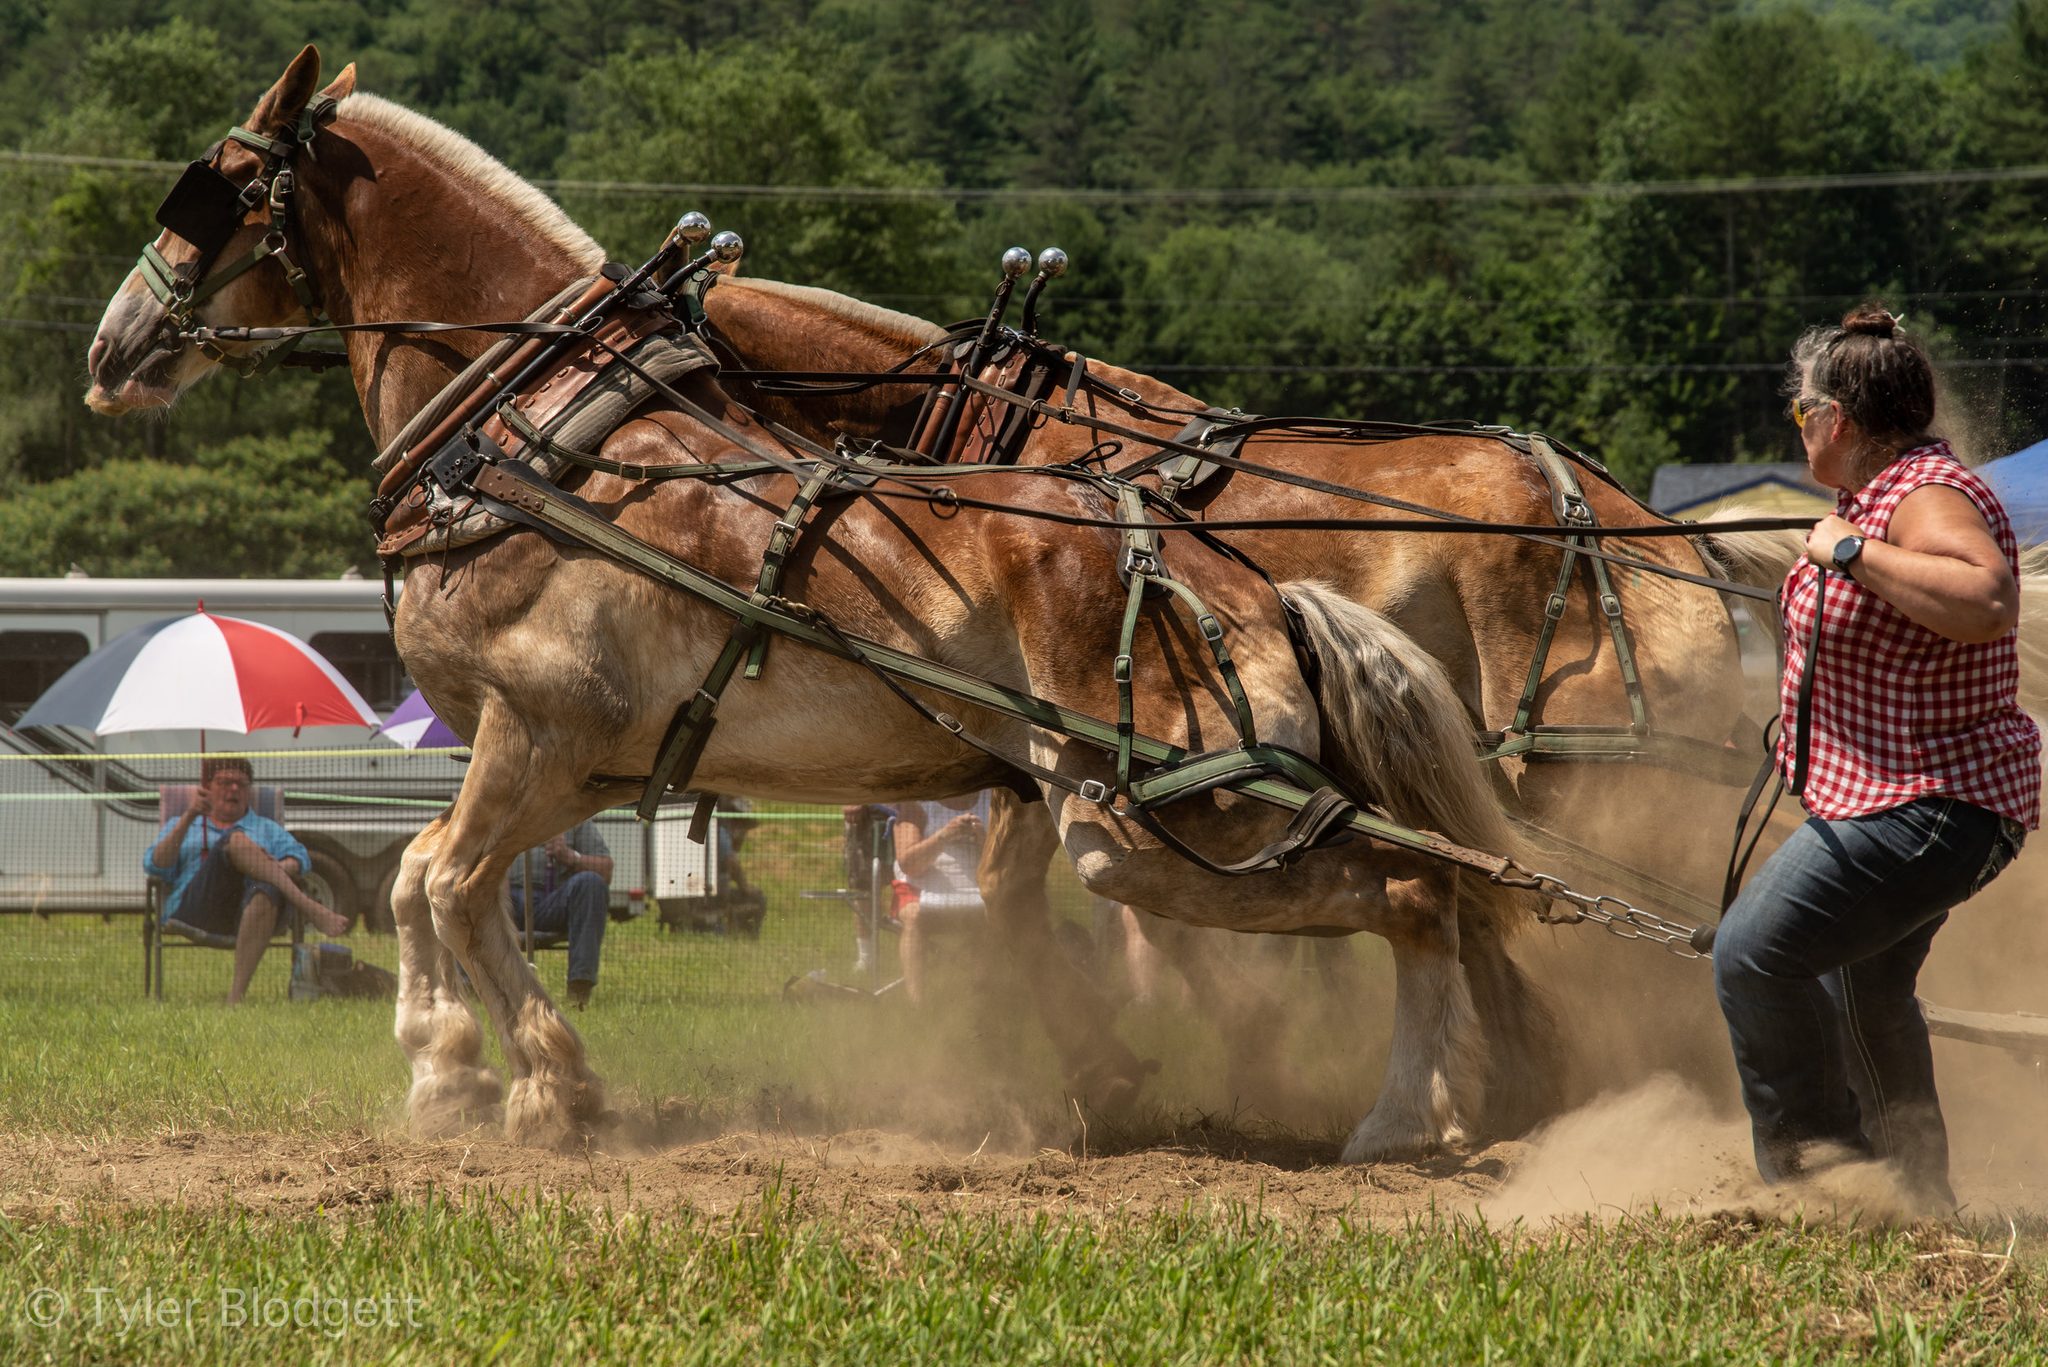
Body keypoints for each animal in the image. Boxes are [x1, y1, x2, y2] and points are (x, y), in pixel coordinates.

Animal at [83, 48, 1551, 1160]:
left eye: (215, 191)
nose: (111, 347)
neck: (539, 445)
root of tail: (1241, 584)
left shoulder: (533, 730)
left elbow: (444, 883)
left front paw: (532, 1081)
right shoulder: (575, 763)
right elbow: (430, 883)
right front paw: (463, 1074)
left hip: (1160, 825)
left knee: (1414, 891)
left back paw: (1401, 1118)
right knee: (1420, 893)